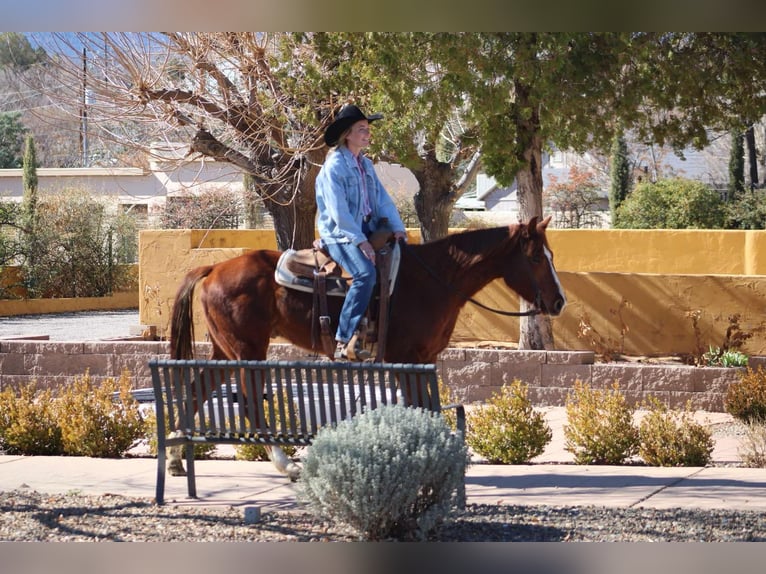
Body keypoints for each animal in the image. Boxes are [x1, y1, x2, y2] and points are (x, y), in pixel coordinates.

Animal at [165, 215, 568, 476]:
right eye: (536, 256)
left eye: (551, 256)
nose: (559, 302)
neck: (433, 280)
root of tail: (213, 269)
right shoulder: (405, 359)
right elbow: (420, 407)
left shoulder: (424, 360)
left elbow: (427, 407)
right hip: (248, 351)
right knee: (249, 402)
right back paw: (285, 463)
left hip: (225, 350)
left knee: (195, 389)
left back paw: (174, 458)